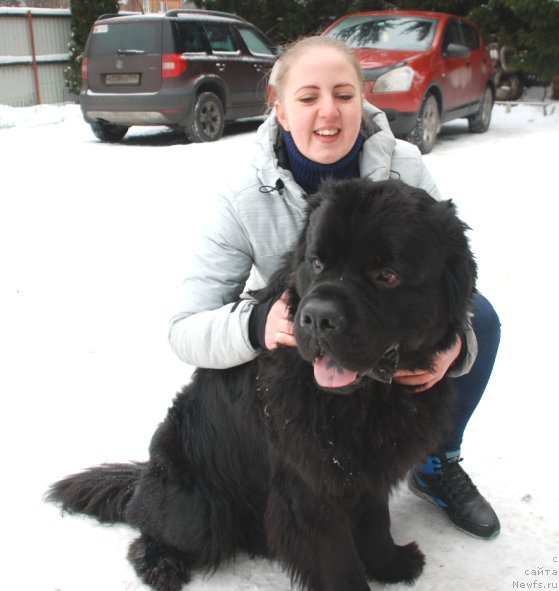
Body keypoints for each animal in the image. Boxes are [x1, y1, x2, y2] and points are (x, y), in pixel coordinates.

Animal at [48, 179, 476, 591]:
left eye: (387, 275)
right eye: (317, 262)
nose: (317, 318)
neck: (365, 401)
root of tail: (142, 478)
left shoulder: (367, 468)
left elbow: (376, 521)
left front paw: (391, 564)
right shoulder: (309, 488)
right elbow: (338, 565)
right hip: (199, 511)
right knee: (149, 530)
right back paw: (162, 565)